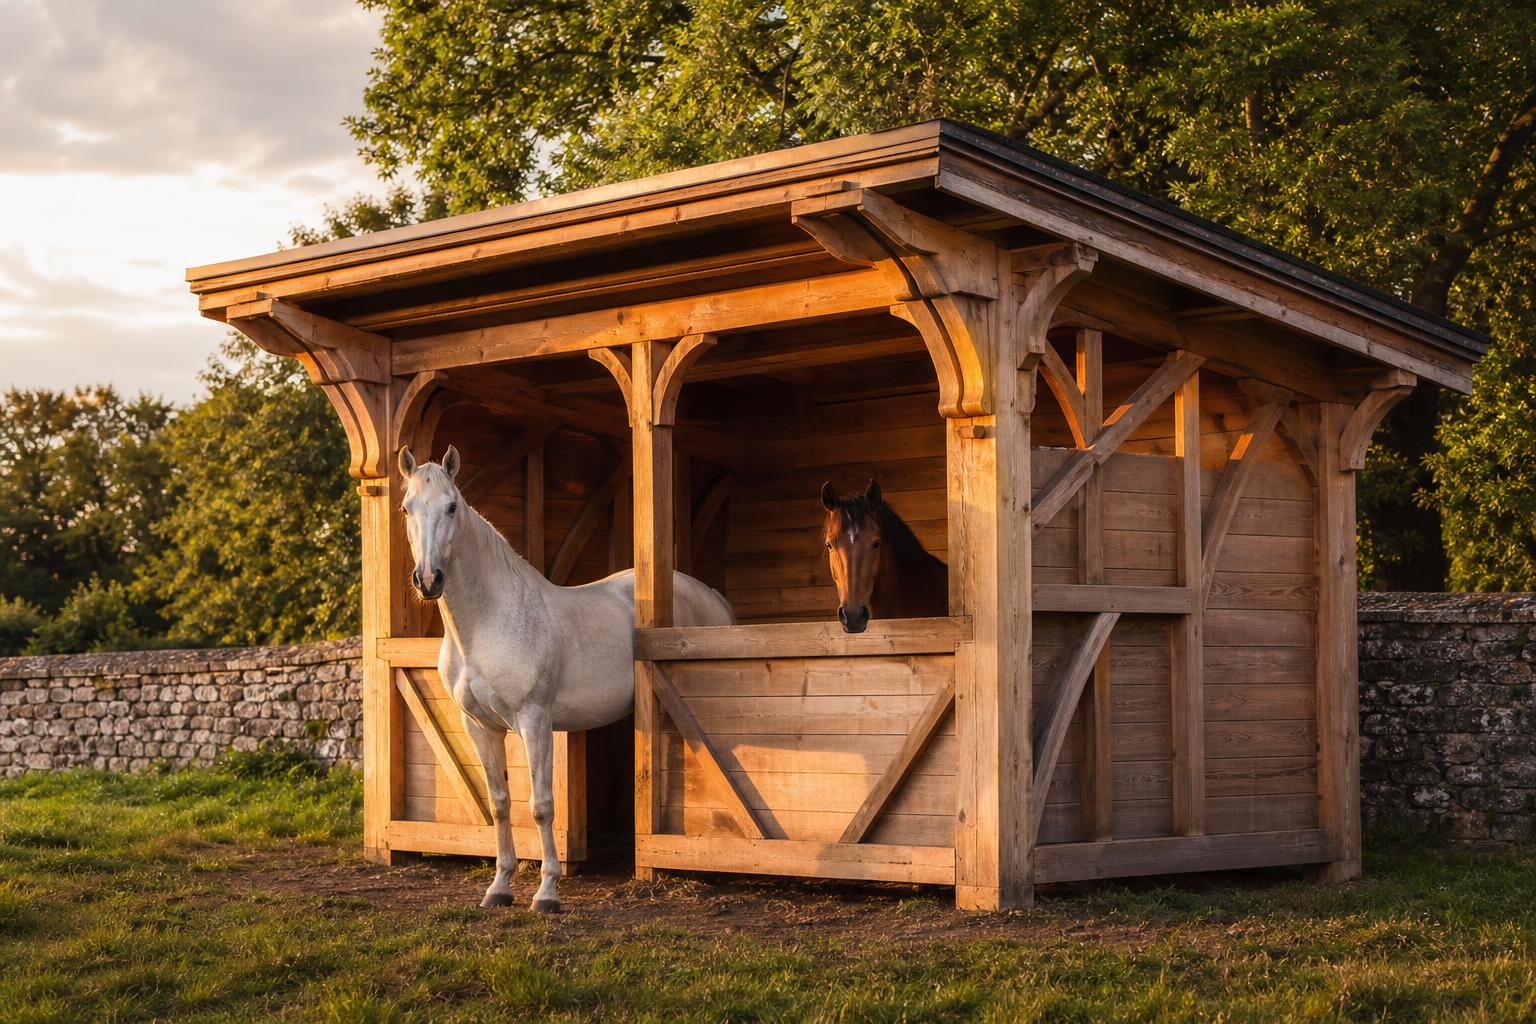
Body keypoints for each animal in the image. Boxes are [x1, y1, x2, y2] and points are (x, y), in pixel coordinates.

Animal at [397, 444, 735, 912]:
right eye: (406, 508)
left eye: (451, 506)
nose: (429, 579)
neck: (488, 621)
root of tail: (711, 594)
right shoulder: (479, 726)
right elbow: (500, 803)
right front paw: (499, 887)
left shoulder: (534, 721)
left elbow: (540, 805)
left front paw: (547, 893)